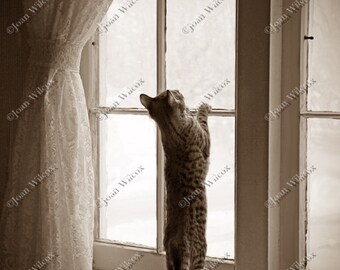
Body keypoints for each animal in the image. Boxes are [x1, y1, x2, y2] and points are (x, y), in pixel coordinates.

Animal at [139, 90, 211, 270]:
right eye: (178, 93)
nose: (179, 91)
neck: (169, 130)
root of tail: (178, 243)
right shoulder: (205, 139)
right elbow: (202, 118)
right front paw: (202, 107)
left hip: (169, 261)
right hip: (200, 253)